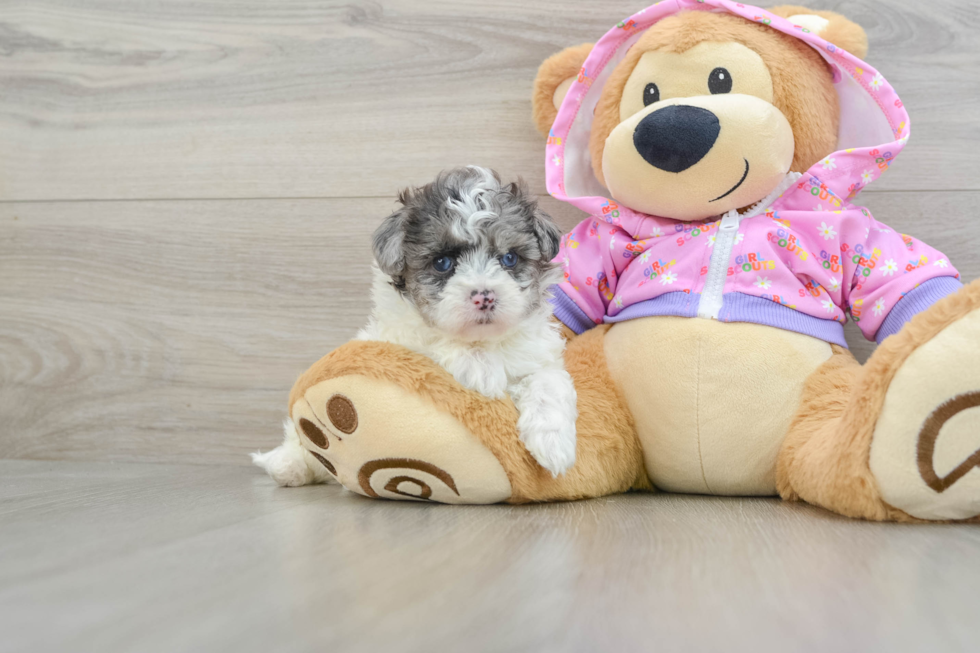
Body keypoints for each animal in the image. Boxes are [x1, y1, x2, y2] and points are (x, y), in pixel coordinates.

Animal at [253, 168, 580, 484]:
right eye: (442, 262)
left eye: (509, 258)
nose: (484, 296)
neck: (482, 340)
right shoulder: (399, 339)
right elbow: (434, 341)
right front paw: (482, 372)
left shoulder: (538, 357)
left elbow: (548, 383)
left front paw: (554, 446)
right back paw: (287, 464)